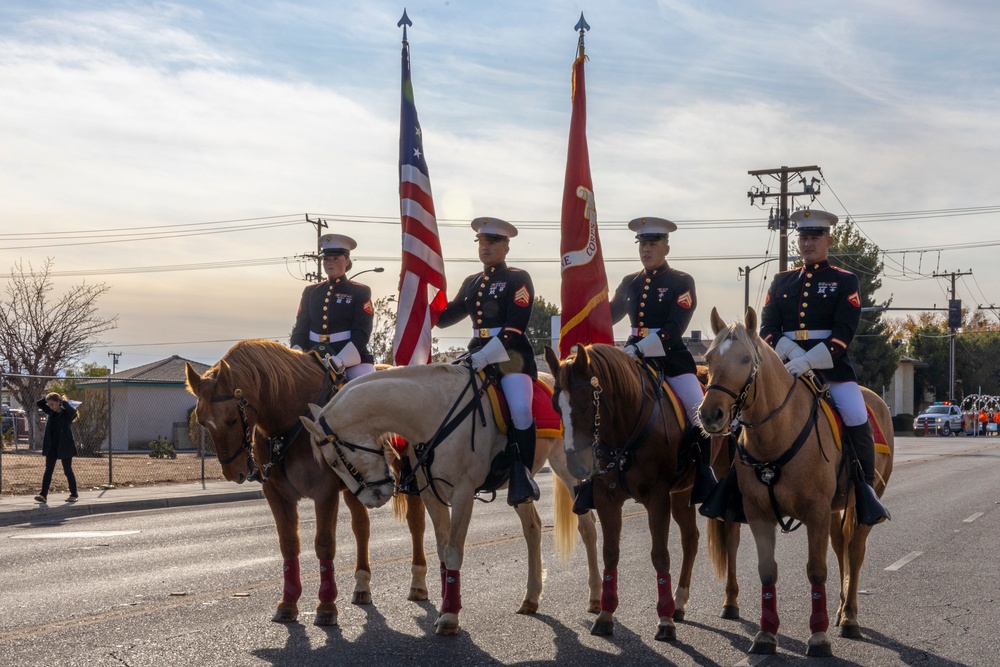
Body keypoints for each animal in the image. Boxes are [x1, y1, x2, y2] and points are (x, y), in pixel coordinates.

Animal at [186, 342, 428, 628]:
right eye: (202, 421)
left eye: (233, 420)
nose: (234, 472)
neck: (288, 425)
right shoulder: (276, 493)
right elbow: (289, 543)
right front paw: (288, 602)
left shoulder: (325, 492)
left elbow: (324, 543)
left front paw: (326, 605)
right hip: (358, 489)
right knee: (362, 529)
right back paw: (362, 586)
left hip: (411, 477)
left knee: (416, 524)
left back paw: (418, 584)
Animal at [292, 360, 596, 636]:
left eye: (333, 461)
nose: (372, 498)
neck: (431, 414)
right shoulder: (431, 493)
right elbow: (441, 547)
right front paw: (446, 605)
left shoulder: (463, 493)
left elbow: (453, 550)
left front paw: (449, 615)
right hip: (519, 484)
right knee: (532, 528)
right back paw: (531, 598)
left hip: (567, 468)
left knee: (587, 525)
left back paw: (595, 598)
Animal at [548, 342, 704, 644]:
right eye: (554, 405)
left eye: (587, 402)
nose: (576, 464)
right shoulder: (606, 498)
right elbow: (610, 553)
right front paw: (605, 614)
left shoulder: (658, 497)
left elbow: (660, 555)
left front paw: (664, 619)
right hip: (682, 495)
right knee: (691, 539)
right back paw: (680, 602)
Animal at [700, 310, 896, 660]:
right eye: (708, 358)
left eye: (746, 359)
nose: (711, 415)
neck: (777, 431)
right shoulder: (759, 514)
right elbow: (767, 570)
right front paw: (765, 634)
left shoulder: (815, 512)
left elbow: (816, 569)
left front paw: (818, 637)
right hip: (835, 510)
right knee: (841, 547)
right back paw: (841, 609)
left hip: (860, 505)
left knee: (855, 552)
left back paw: (850, 617)